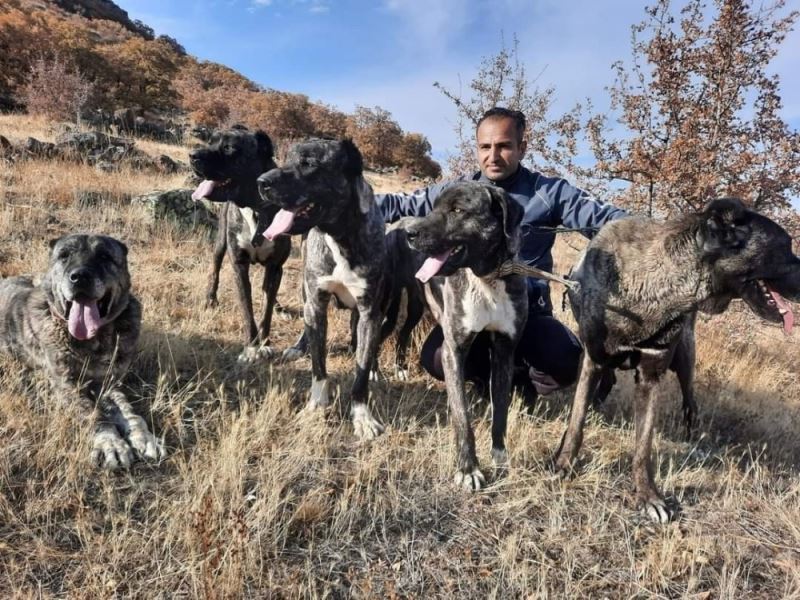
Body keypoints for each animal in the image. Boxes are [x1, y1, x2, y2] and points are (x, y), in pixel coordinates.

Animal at [0, 234, 163, 468]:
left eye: (104, 256)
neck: (94, 340)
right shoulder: (67, 385)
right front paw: (110, 442)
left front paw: (143, 436)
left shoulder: (108, 383)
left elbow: (129, 410)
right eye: (64, 255)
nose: (80, 277)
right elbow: (92, 413)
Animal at [258, 139, 390, 440]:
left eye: (309, 164)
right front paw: (317, 405)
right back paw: (298, 347)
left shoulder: (369, 312)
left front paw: (362, 417)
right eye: (286, 159)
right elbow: (319, 366)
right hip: (305, 294)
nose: (261, 182)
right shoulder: (316, 302)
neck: (340, 235)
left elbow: (361, 371)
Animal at [404, 180, 528, 490]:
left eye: (458, 210)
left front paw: (500, 456)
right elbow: (462, 416)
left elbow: (501, 412)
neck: (487, 278)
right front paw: (468, 468)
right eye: (433, 207)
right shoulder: (453, 352)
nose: (409, 234)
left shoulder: (505, 350)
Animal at [560, 199, 796, 524]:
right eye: (786, 246)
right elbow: (576, 423)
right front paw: (563, 464)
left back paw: (692, 441)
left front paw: (648, 497)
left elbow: (643, 447)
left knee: (690, 405)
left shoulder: (650, 376)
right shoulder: (592, 360)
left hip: (685, 360)